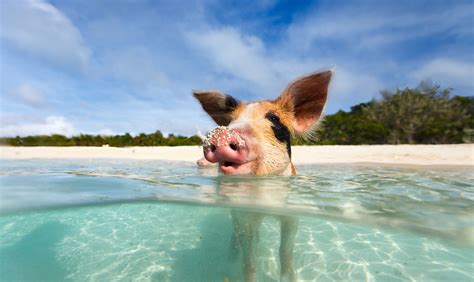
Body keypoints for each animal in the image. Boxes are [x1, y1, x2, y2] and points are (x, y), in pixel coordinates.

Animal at [192, 69, 330, 280]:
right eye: (230, 121)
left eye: (273, 118)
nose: (221, 134)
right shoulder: (245, 214)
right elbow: (249, 258)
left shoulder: (292, 215)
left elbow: (285, 251)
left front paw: (289, 278)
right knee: (236, 232)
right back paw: (231, 256)